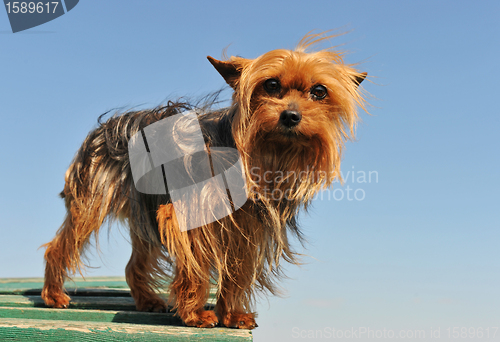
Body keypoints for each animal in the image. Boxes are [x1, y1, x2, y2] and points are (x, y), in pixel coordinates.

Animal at [42, 32, 368, 328]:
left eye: (319, 92)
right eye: (271, 85)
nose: (290, 116)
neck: (266, 156)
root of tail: (108, 124)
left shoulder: (247, 231)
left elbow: (237, 273)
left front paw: (232, 315)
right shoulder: (186, 217)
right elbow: (196, 265)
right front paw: (196, 314)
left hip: (144, 212)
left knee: (134, 264)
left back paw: (146, 300)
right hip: (93, 200)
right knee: (61, 244)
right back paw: (53, 295)